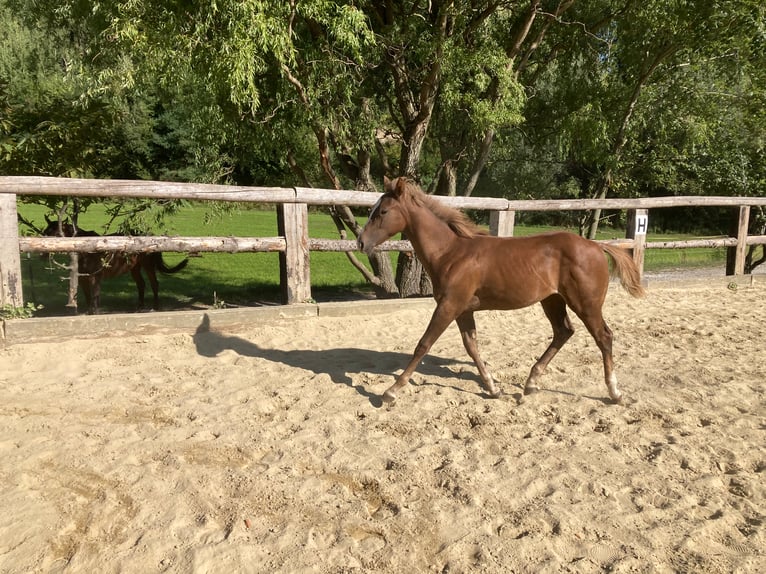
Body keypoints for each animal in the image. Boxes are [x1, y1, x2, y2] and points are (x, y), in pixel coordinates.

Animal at [42, 218, 189, 316]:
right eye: (45, 232)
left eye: (56, 234)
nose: (43, 253)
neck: (85, 248)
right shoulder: (83, 278)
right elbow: (88, 296)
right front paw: (88, 312)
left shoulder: (95, 277)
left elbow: (95, 295)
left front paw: (95, 312)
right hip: (134, 268)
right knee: (141, 284)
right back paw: (139, 307)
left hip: (148, 266)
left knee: (154, 284)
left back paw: (155, 308)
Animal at [356, 178, 644, 408]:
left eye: (383, 211)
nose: (361, 242)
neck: (450, 253)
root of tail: (596, 246)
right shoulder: (463, 309)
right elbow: (472, 347)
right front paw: (493, 389)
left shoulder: (449, 305)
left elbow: (423, 345)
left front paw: (390, 392)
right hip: (553, 300)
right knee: (564, 331)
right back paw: (531, 383)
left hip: (586, 303)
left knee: (604, 336)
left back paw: (615, 392)